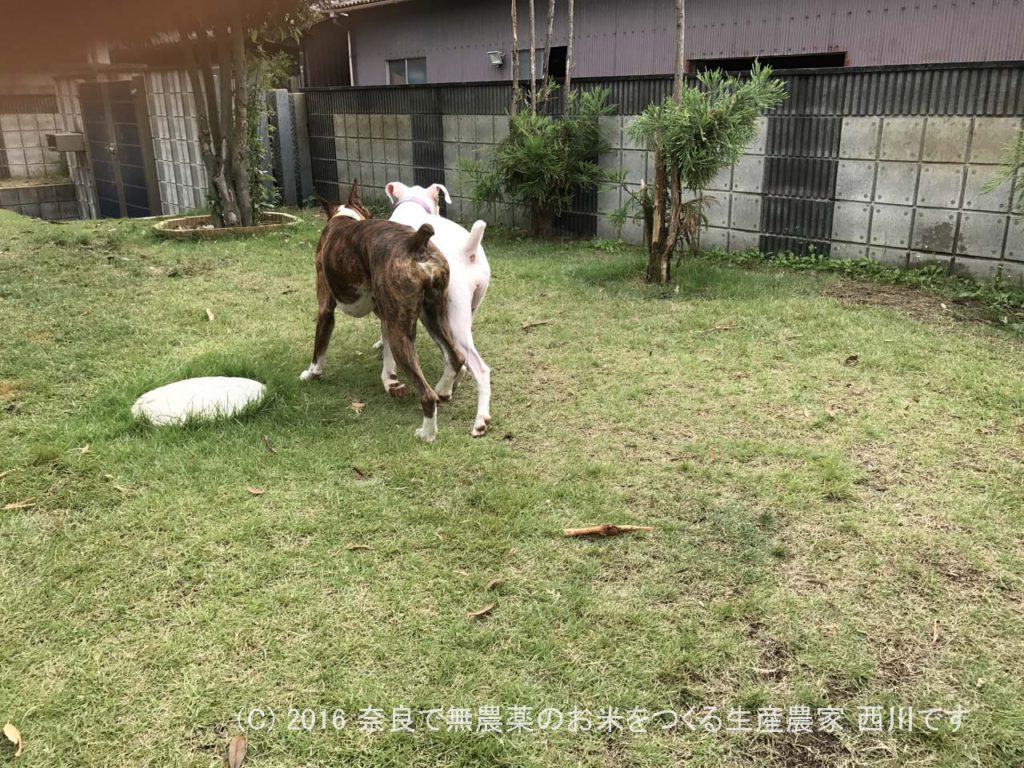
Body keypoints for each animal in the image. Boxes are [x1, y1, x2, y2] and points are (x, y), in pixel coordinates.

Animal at [299, 182, 464, 442]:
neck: (344, 217)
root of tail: (416, 241)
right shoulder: (386, 315)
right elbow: (387, 358)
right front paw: (391, 382)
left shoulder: (325, 307)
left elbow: (319, 347)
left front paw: (311, 373)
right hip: (432, 316)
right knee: (456, 357)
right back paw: (444, 390)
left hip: (402, 333)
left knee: (426, 395)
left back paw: (427, 433)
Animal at [387, 177, 491, 436]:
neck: (413, 203)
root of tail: (468, 251)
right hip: (464, 312)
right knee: (457, 356)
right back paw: (448, 388)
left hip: (447, 315)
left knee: (477, 366)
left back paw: (479, 419)